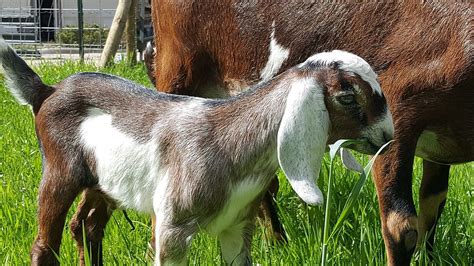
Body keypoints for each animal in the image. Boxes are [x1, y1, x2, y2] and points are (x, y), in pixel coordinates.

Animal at [0, 41, 392, 264]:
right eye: (347, 96)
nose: (388, 135)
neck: (228, 140)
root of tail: (47, 90)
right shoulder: (172, 228)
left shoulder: (237, 225)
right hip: (59, 170)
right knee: (45, 245)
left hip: (104, 182)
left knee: (86, 226)